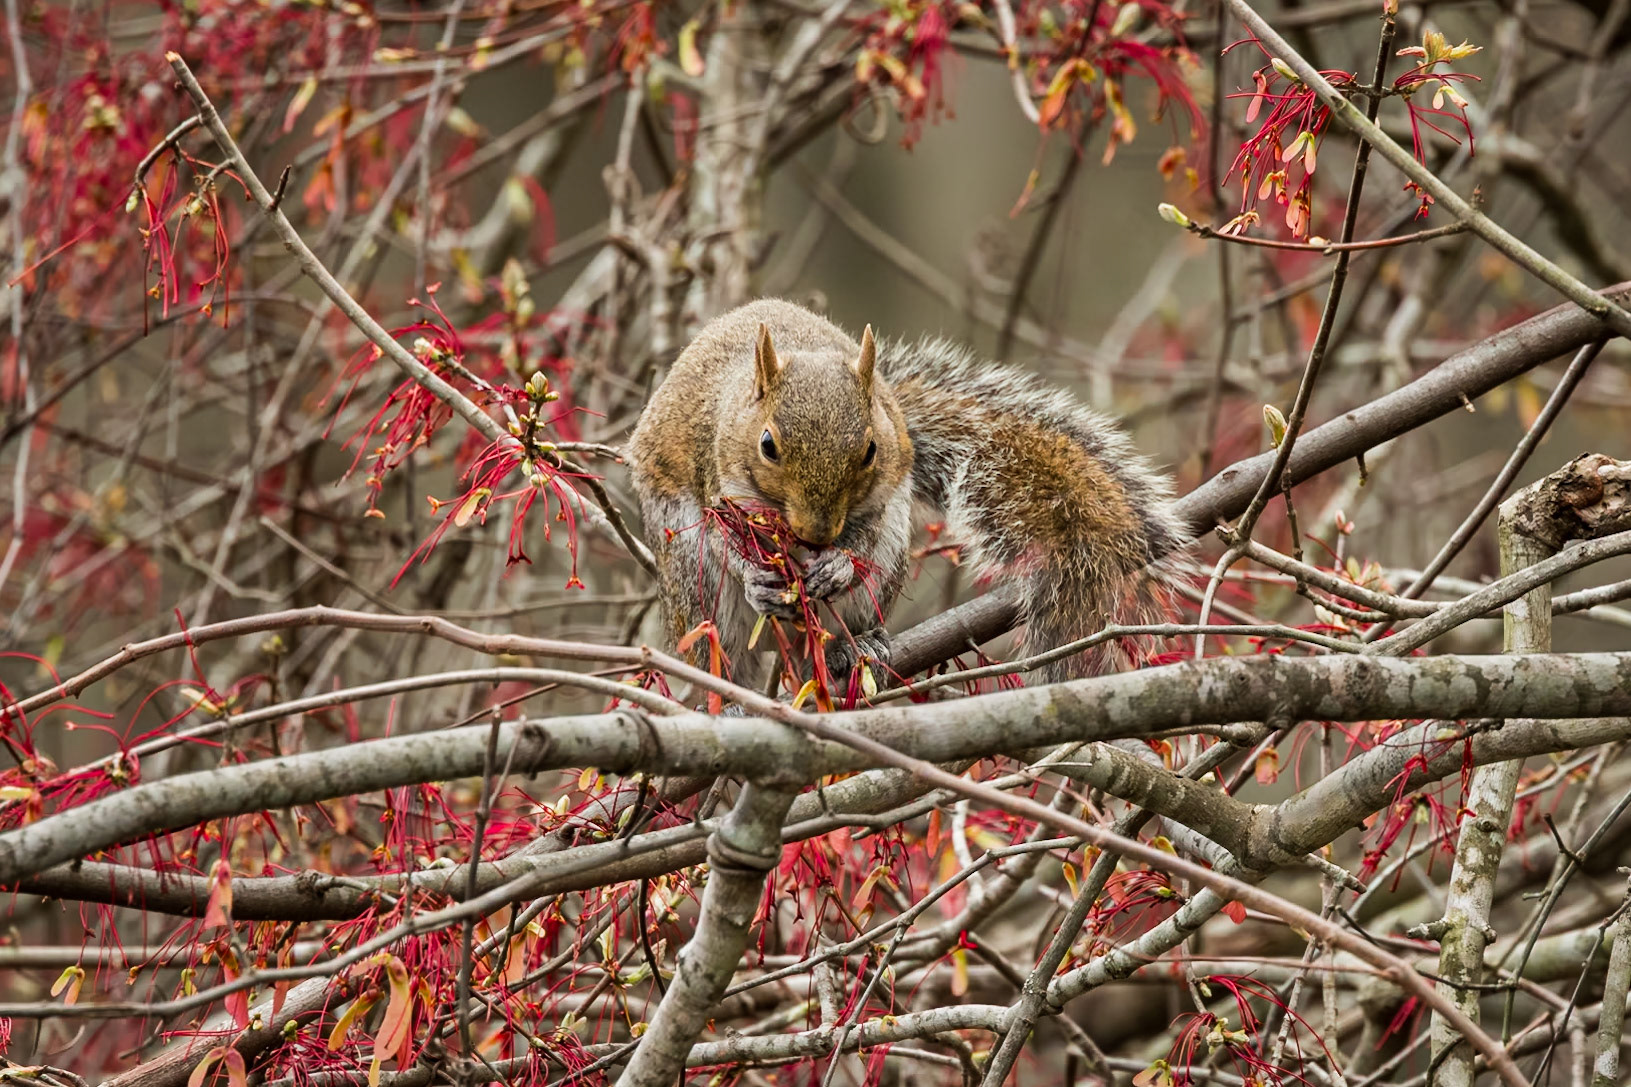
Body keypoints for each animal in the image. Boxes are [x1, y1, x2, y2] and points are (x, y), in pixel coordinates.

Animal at [627, 298, 1183, 693]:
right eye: (768, 445)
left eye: (872, 449)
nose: (817, 533)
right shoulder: (712, 483)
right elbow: (728, 540)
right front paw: (756, 577)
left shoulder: (878, 503)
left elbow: (861, 538)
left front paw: (840, 564)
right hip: (691, 577)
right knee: (720, 655)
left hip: (890, 553)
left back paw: (855, 647)